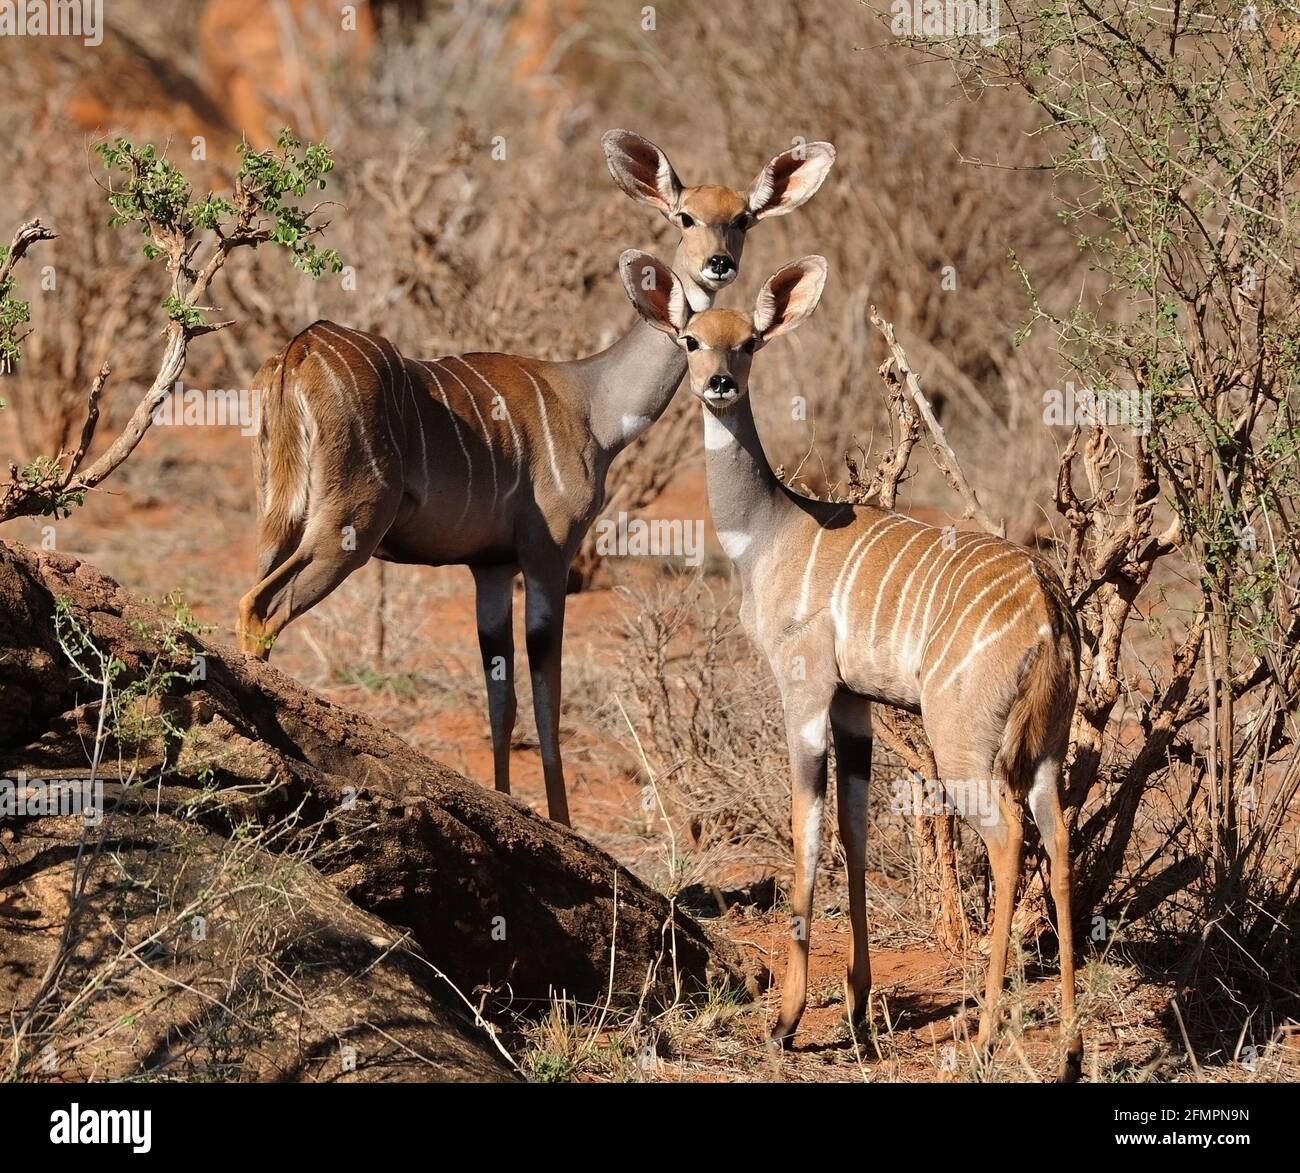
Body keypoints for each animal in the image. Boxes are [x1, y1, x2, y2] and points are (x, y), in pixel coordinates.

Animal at [239, 130, 837, 827]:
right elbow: (547, 695)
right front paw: (561, 820)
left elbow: (501, 701)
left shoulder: (492, 567)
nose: (718, 264)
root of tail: (300, 351)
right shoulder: (550, 550)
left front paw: (504, 800)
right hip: (346, 530)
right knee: (261, 610)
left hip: (280, 520)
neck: (593, 402)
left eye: (741, 218)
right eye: (685, 216)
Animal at [618, 249, 1086, 1081]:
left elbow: (807, 831)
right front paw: (861, 1012)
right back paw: (1067, 1040)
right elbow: (854, 828)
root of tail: (1047, 603)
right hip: (1045, 749)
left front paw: (788, 1019)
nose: (719, 383)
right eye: (691, 340)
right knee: (1058, 841)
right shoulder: (854, 706)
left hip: (963, 742)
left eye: (749, 342)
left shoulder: (803, 692)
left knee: (1007, 840)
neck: (773, 530)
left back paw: (987, 1032)